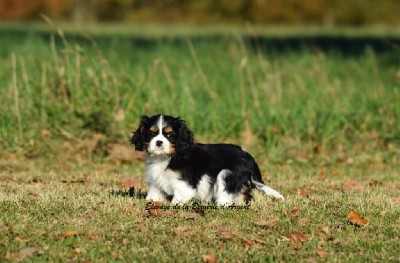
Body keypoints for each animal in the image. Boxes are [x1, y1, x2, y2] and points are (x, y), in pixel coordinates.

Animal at [131, 114, 284, 206]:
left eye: (170, 135)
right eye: (151, 133)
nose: (159, 142)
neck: (167, 157)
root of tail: (249, 158)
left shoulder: (183, 184)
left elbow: (179, 197)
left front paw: (174, 205)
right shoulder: (156, 181)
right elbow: (154, 194)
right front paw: (151, 202)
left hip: (227, 174)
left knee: (226, 195)